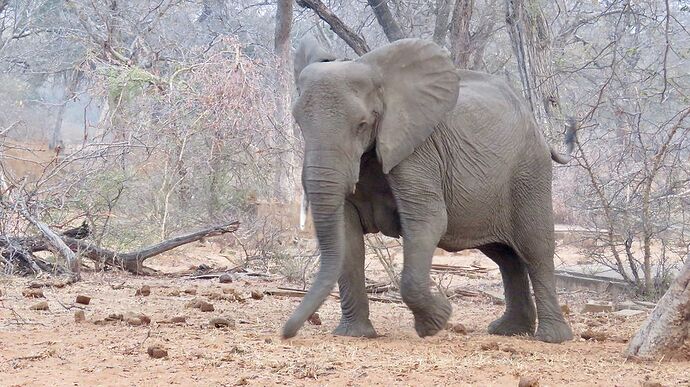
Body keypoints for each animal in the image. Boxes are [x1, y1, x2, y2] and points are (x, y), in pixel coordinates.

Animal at [280, 36, 576, 344]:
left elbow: (428, 221)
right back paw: (509, 330)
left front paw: (438, 320)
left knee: (535, 248)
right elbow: (347, 234)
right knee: (505, 256)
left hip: (529, 171)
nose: (286, 333)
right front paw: (354, 334)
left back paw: (551, 338)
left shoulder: (420, 151)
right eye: (299, 122)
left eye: (362, 125)